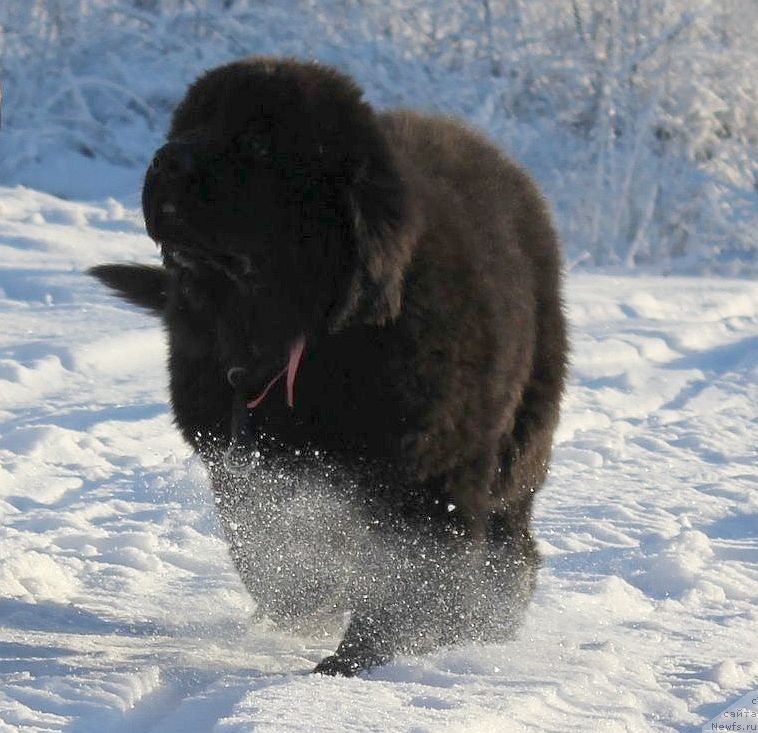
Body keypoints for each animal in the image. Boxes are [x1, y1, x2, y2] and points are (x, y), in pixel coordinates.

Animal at [89, 57, 568, 676]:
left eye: (258, 143)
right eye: (190, 123)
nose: (166, 159)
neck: (302, 338)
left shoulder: (426, 467)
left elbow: (407, 573)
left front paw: (356, 660)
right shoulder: (246, 460)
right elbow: (272, 549)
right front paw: (310, 609)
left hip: (520, 437)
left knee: (511, 539)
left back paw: (491, 620)